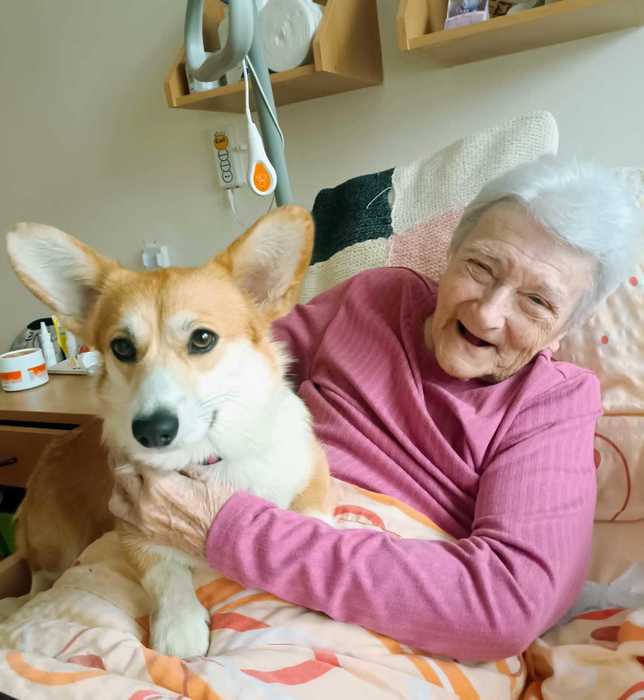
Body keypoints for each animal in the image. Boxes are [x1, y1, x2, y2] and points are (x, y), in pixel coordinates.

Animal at [5, 205, 332, 657]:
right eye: (122, 347)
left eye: (203, 339)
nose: (152, 431)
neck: (208, 459)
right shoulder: (133, 528)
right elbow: (165, 573)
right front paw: (180, 626)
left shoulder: (313, 469)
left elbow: (312, 521)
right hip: (55, 549)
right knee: (37, 579)